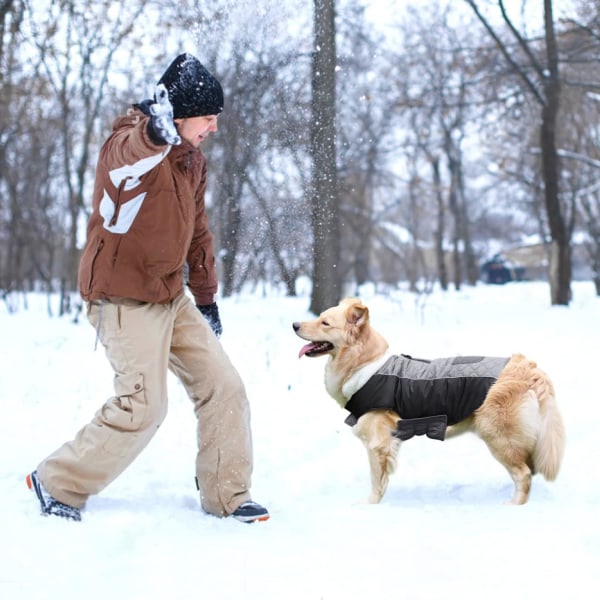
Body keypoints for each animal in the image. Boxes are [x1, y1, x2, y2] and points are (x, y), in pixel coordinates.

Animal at [296, 298, 568, 504]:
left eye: (325, 322)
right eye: (320, 317)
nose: (294, 324)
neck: (364, 363)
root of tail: (528, 367)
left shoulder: (378, 444)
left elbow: (376, 481)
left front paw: (370, 506)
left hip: (498, 436)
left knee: (524, 474)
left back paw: (514, 506)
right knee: (530, 469)